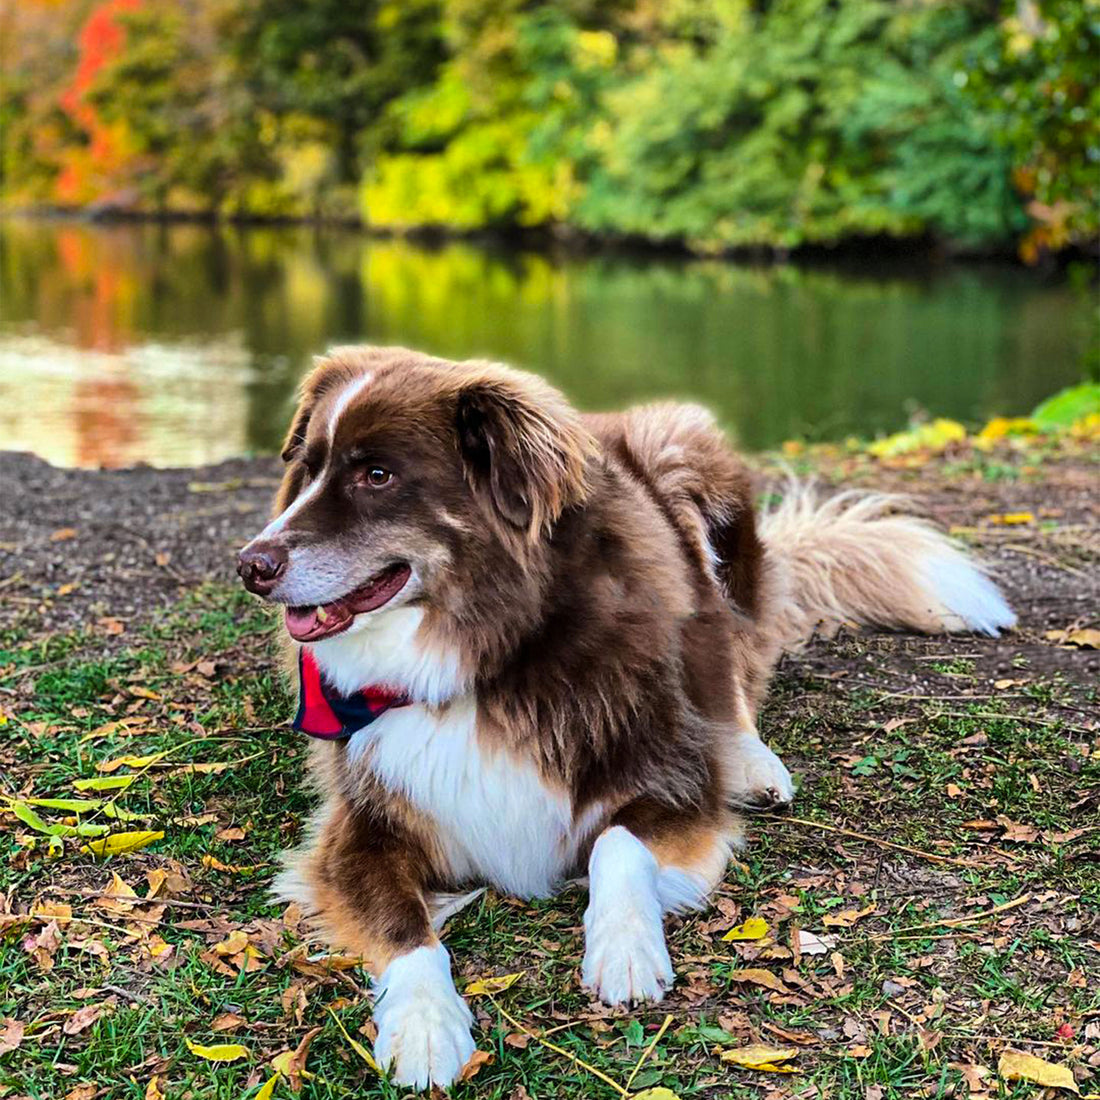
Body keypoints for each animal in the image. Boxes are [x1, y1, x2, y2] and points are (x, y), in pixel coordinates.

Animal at [238, 345, 1012, 1091]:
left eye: (377, 474)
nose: (251, 564)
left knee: (729, 664)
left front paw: (625, 948)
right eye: (305, 470)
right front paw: (425, 1027)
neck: (490, 656)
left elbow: (617, 842)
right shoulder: (362, 827)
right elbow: (405, 930)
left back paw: (752, 762)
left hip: (690, 470)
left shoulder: (673, 777)